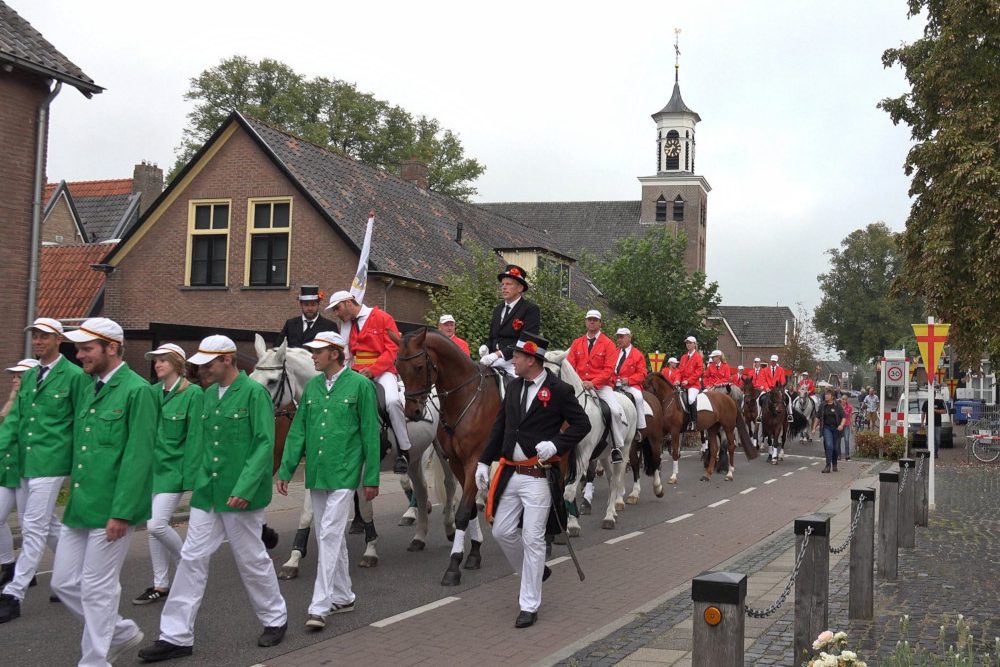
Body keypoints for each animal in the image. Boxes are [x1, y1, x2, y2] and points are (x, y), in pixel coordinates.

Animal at [250, 334, 458, 580]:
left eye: (272, 381)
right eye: (251, 376)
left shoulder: (364, 468)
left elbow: (366, 507)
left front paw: (370, 550)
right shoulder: (316, 468)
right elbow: (306, 514)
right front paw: (294, 559)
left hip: (442, 453)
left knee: (449, 485)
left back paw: (450, 527)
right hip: (415, 458)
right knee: (422, 490)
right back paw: (419, 536)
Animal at [390, 328, 500, 584]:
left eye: (419, 366)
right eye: (397, 366)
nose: (413, 412)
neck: (466, 398)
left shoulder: (474, 461)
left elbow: (462, 513)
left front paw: (454, 565)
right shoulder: (458, 462)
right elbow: (468, 509)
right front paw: (474, 553)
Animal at [544, 350, 636, 532]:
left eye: (552, 374)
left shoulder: (584, 455)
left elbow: (569, 491)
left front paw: (571, 526)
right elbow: (565, 489)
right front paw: (571, 523)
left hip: (624, 450)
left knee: (616, 480)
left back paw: (609, 517)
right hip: (604, 455)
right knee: (610, 480)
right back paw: (612, 512)